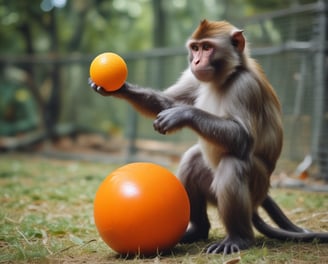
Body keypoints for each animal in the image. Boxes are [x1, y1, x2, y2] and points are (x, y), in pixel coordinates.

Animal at [89, 19, 328, 255]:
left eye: (207, 47)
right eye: (195, 48)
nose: (196, 61)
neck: (226, 77)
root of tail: (259, 199)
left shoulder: (245, 87)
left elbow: (243, 138)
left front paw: (183, 114)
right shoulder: (194, 77)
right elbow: (167, 102)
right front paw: (121, 89)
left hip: (256, 185)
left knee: (232, 164)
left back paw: (239, 238)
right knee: (192, 160)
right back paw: (198, 230)